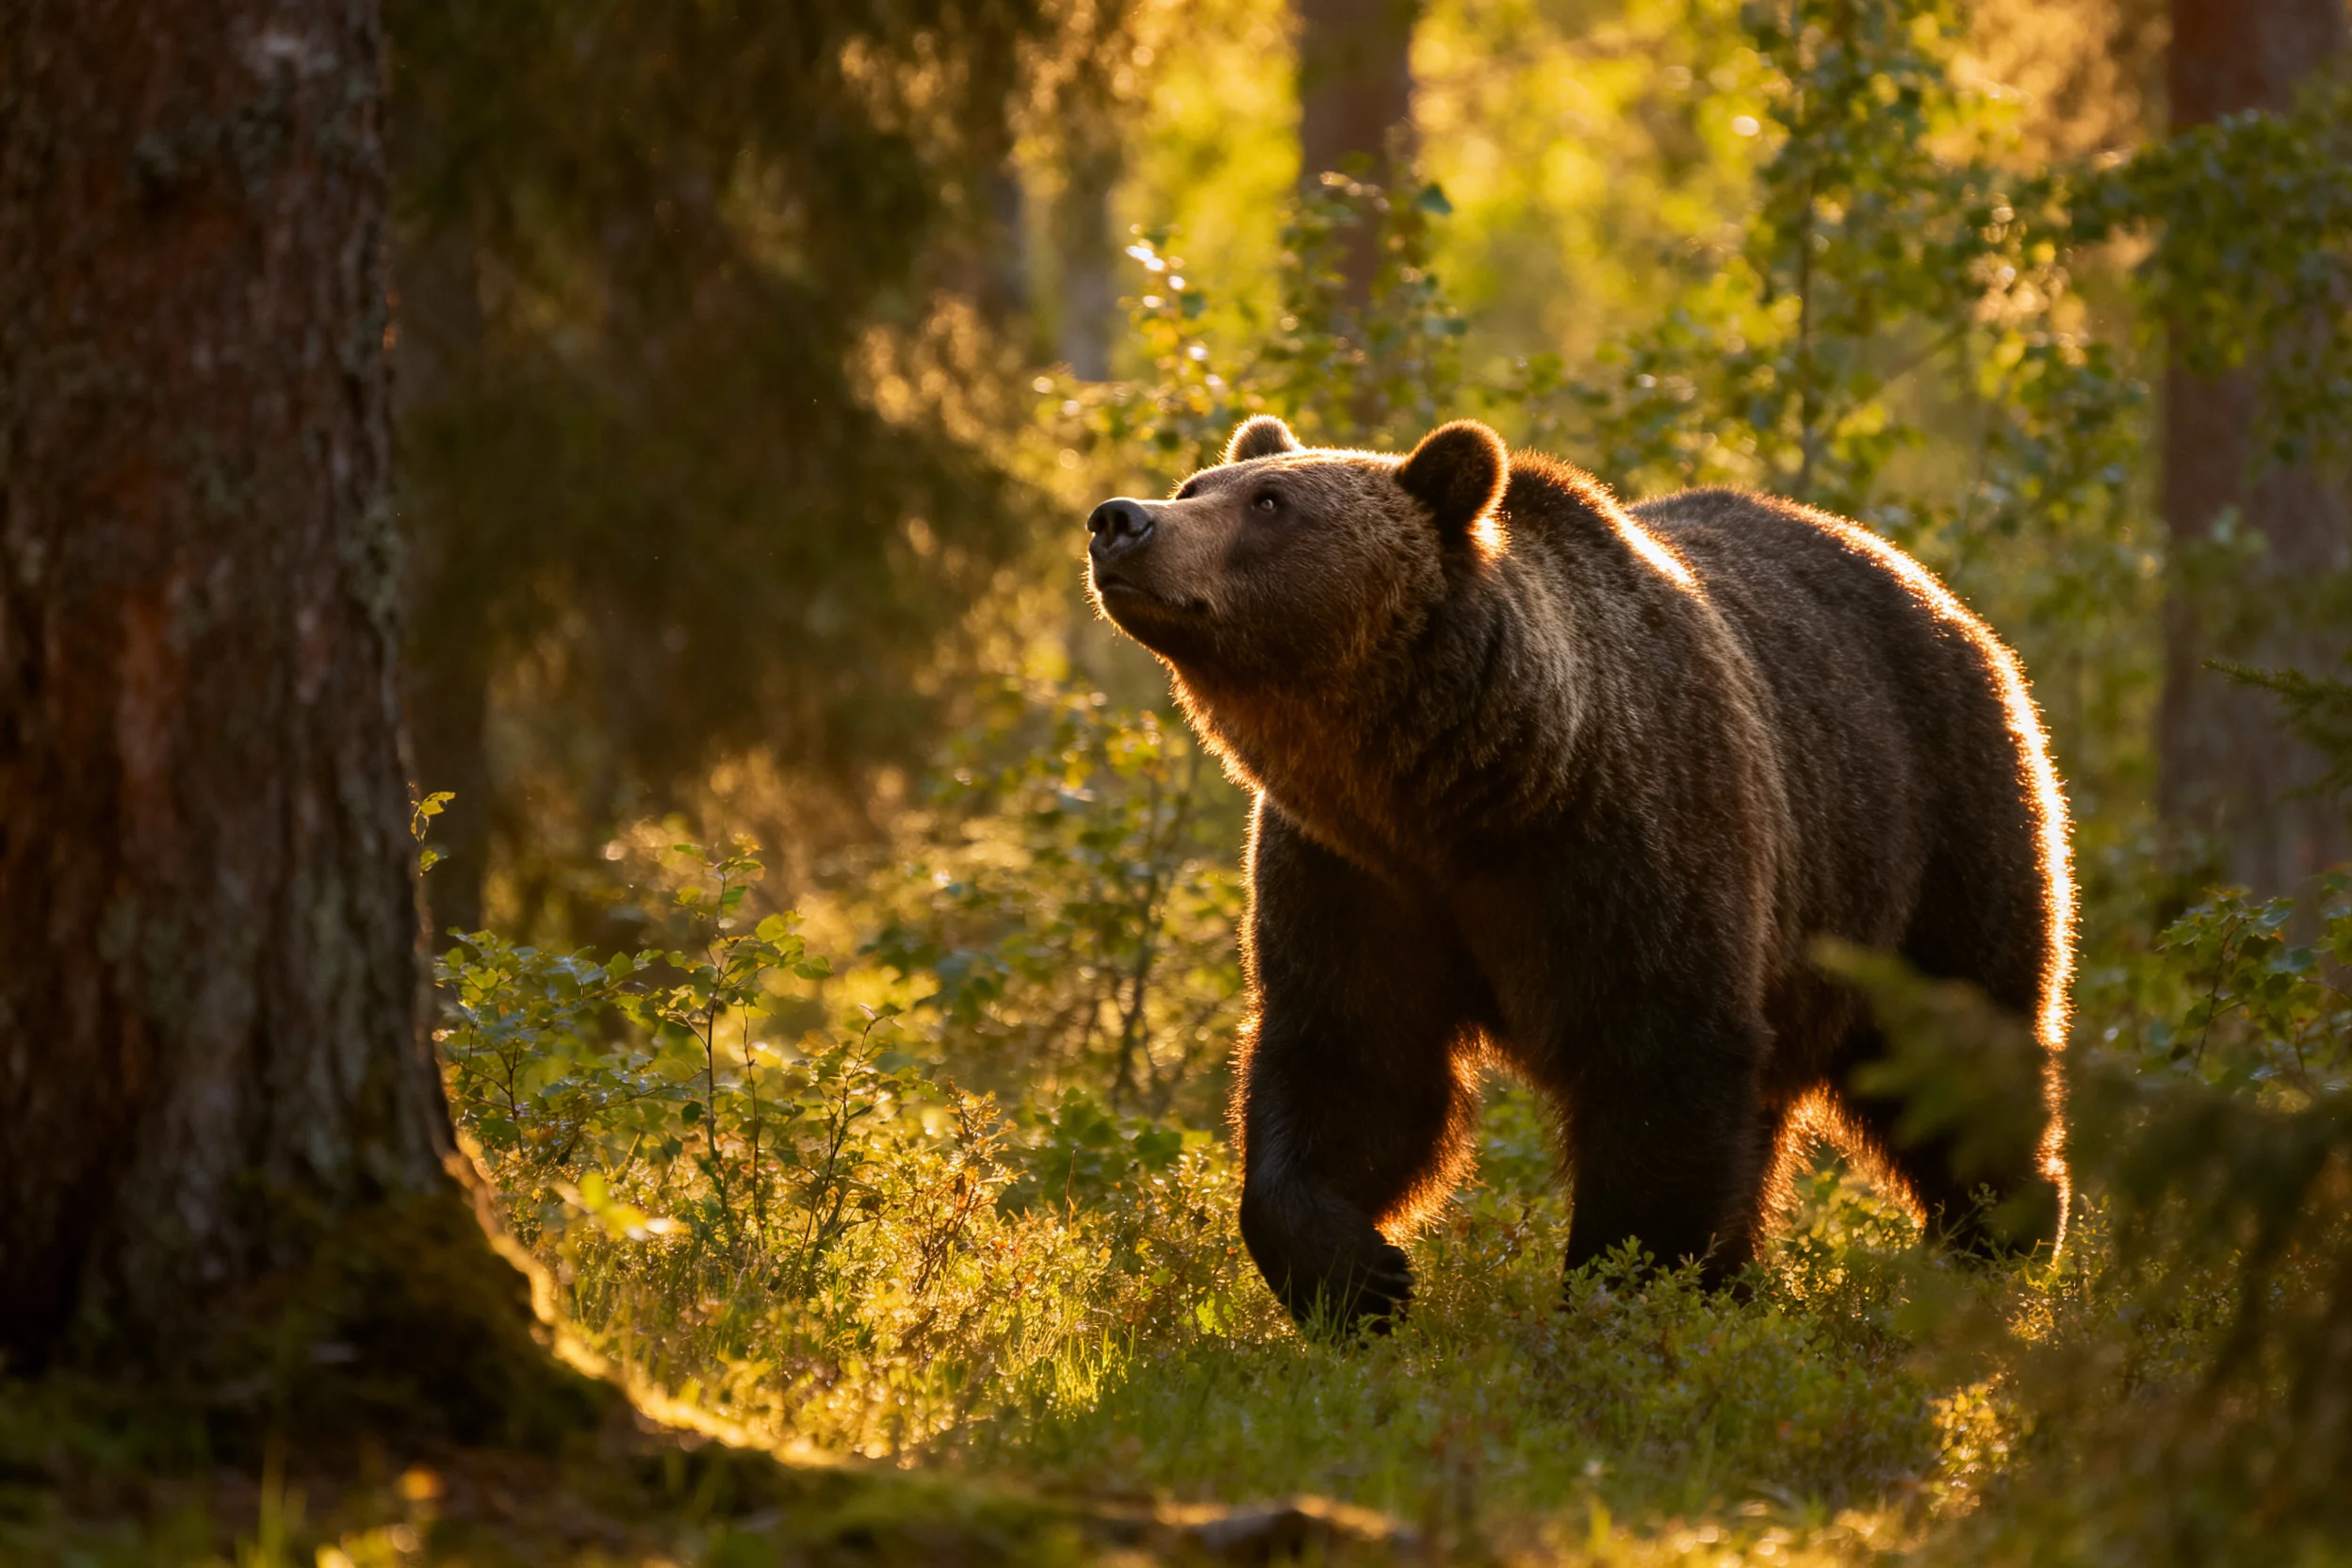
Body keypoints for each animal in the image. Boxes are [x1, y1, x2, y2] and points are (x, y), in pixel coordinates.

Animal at [1084, 414, 2074, 1333]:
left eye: (1270, 503)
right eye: (1197, 483)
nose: (1120, 520)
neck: (1452, 792)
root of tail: (1943, 597)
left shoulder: (1627, 841)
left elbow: (1657, 1071)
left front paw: (1613, 1299)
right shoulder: (1352, 876)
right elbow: (1354, 1066)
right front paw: (1361, 1279)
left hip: (1932, 835)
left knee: (1952, 1049)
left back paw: (1995, 1242)